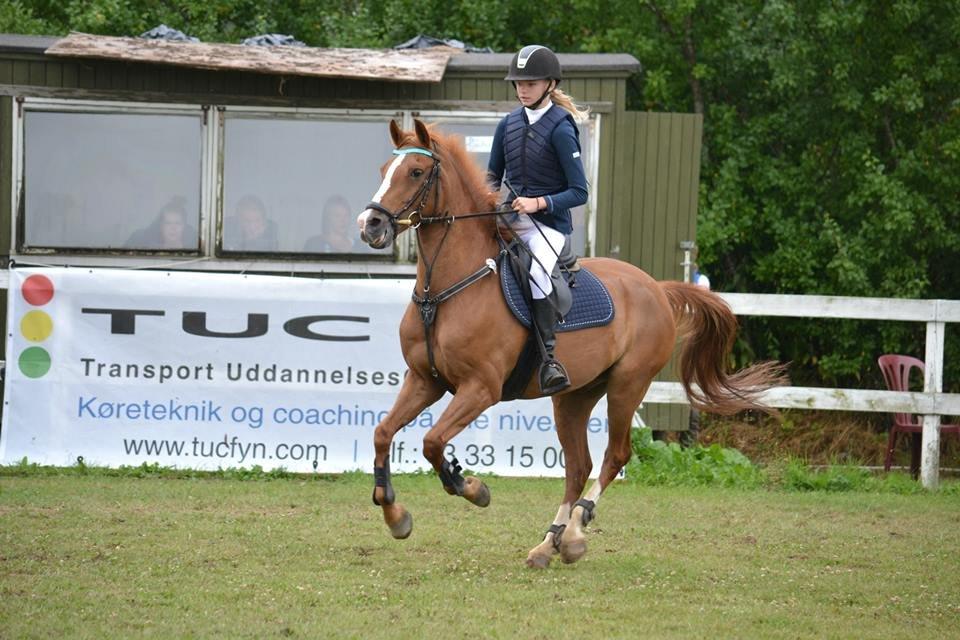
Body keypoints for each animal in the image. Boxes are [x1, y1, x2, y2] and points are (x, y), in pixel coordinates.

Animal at [356, 117, 784, 568]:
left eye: (416, 172)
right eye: (384, 170)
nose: (370, 225)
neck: (445, 291)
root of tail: (657, 287)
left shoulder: (480, 388)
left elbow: (433, 442)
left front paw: (472, 488)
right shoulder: (425, 380)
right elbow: (383, 433)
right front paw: (395, 515)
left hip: (627, 385)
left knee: (614, 456)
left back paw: (576, 532)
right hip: (574, 396)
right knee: (578, 466)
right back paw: (549, 543)